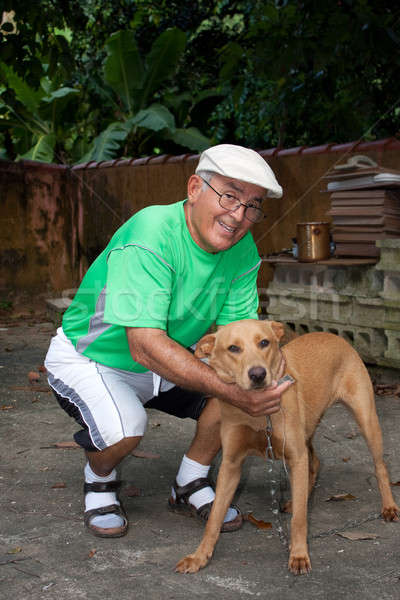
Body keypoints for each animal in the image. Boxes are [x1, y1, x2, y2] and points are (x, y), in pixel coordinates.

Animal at [177, 318, 398, 576]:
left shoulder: (295, 456)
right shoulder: (231, 464)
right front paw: (199, 556)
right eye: (233, 348)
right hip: (307, 432)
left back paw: (389, 506)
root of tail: (333, 336)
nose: (258, 374)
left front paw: (299, 555)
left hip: (366, 420)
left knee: (380, 466)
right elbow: (214, 519)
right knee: (315, 463)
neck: (258, 415)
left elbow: (300, 520)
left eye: (264, 342)